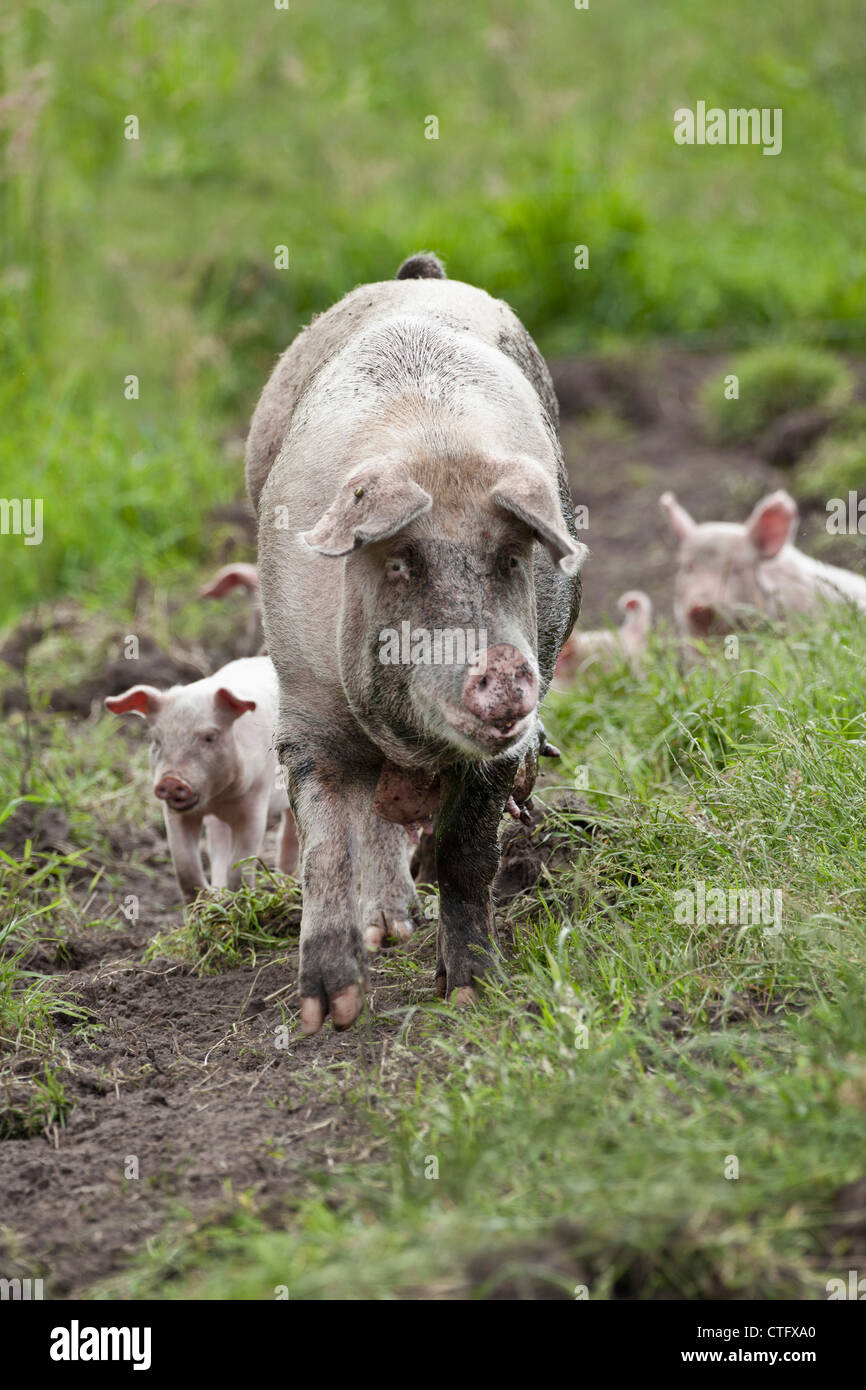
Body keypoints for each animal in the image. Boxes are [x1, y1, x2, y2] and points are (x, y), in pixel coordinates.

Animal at [102, 658, 294, 906]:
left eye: (209, 737)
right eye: (156, 740)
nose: (171, 780)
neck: (217, 799)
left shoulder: (256, 801)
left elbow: (241, 862)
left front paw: (240, 900)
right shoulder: (175, 814)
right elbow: (185, 866)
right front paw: (205, 904)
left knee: (288, 837)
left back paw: (287, 885)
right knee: (218, 845)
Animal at [244, 252, 586, 1034]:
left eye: (510, 560)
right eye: (400, 565)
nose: (501, 666)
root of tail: (419, 275)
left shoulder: (504, 748)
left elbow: (467, 853)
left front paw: (472, 994)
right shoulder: (305, 710)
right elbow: (324, 851)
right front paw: (329, 1015)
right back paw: (387, 929)